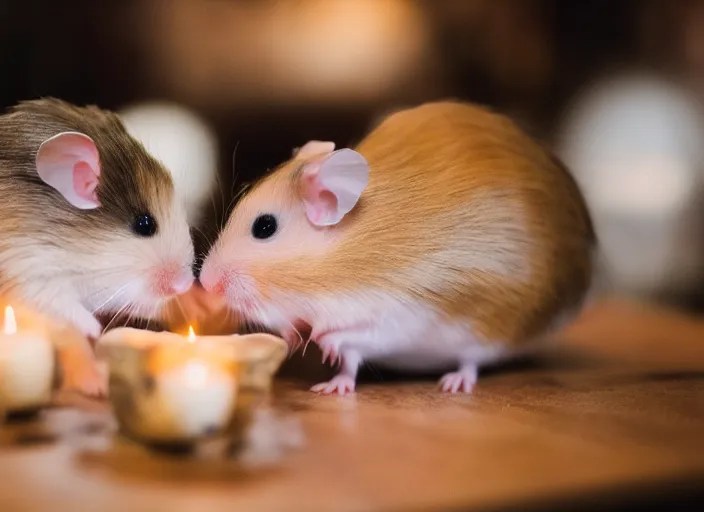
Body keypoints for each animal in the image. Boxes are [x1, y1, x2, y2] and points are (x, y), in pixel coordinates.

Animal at [199, 101, 595, 395]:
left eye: (264, 227)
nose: (205, 283)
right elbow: (349, 361)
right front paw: (303, 346)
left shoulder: (402, 308)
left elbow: (355, 333)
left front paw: (324, 340)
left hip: (488, 330)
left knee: (471, 361)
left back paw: (455, 382)